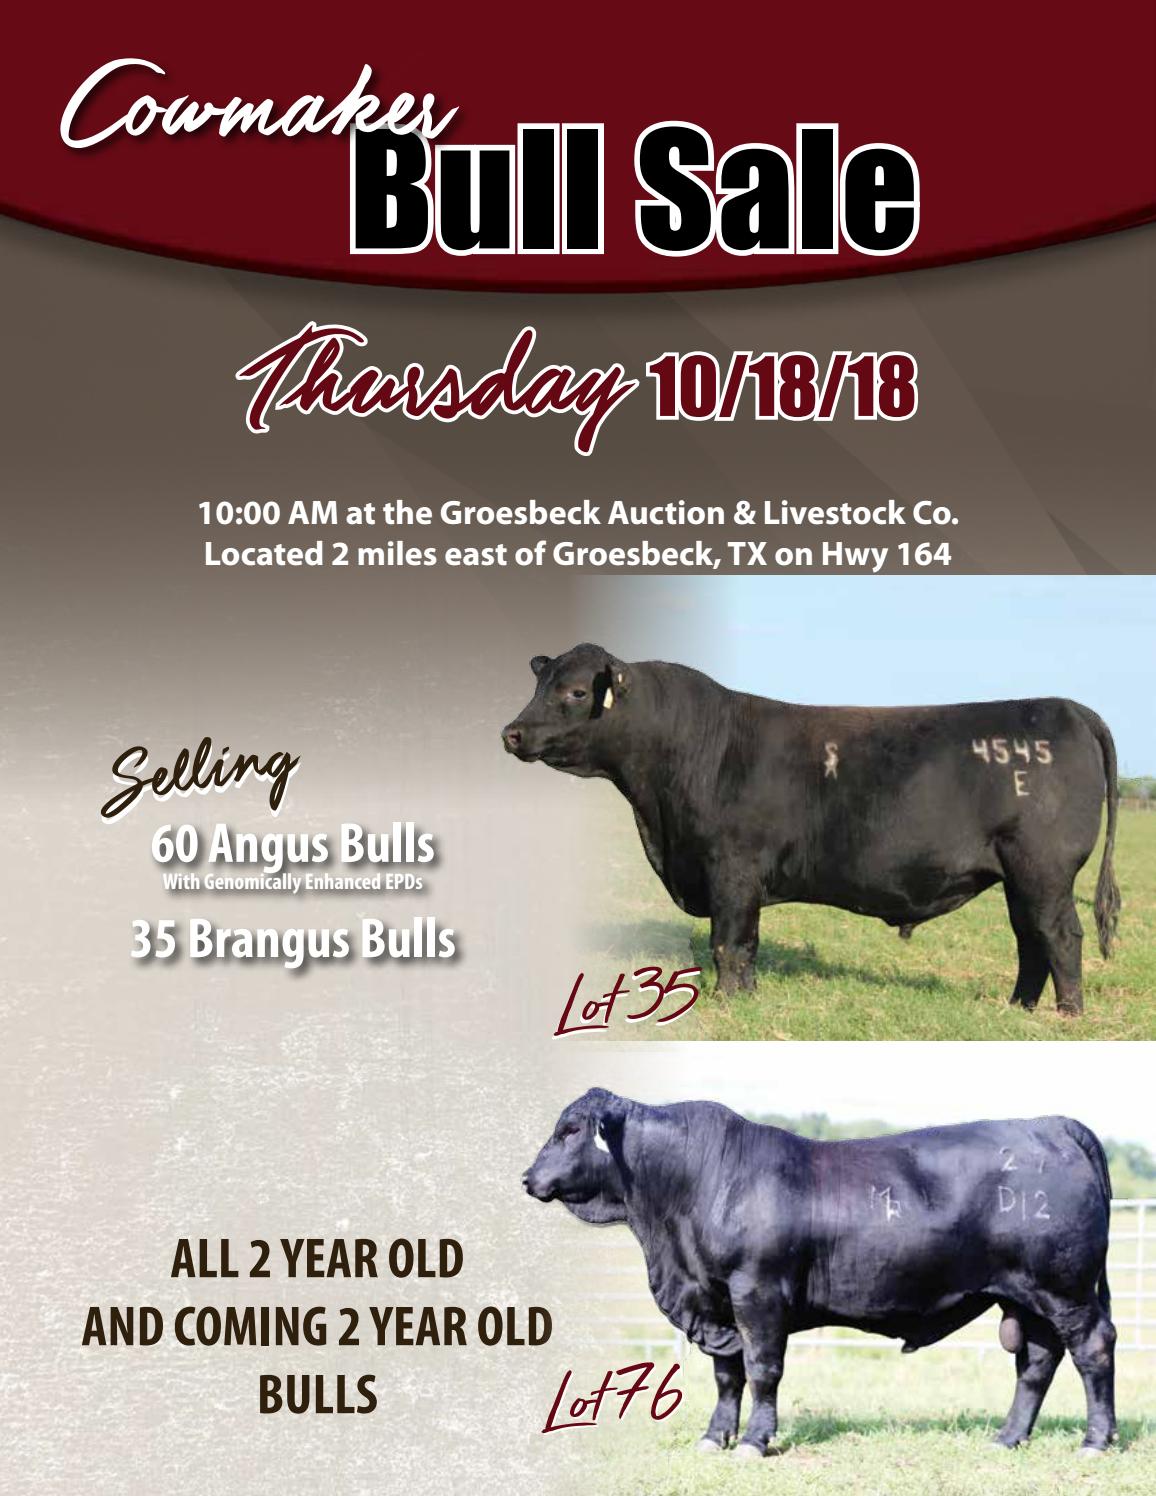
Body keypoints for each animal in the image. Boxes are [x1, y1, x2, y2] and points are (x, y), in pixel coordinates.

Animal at [501, 645, 1120, 1013]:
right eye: (538, 684)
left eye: (576, 692)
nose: (512, 733)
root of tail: (1066, 707)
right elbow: (745, 945)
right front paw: (748, 997)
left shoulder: (731, 867)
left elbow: (729, 941)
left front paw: (727, 1002)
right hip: (1020, 877)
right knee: (1030, 940)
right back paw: (1020, 1008)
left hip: (1044, 869)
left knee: (1060, 936)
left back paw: (1068, 1014)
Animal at [524, 1089, 1117, 1457]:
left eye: (570, 1129)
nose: (529, 1177)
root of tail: (1052, 1125)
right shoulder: (717, 1304)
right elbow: (726, 1375)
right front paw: (715, 1436)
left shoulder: (756, 1293)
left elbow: (762, 1370)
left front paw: (754, 1442)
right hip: (1025, 1296)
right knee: (1036, 1363)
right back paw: (1007, 1438)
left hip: (1066, 1290)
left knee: (1092, 1349)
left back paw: (1095, 1442)